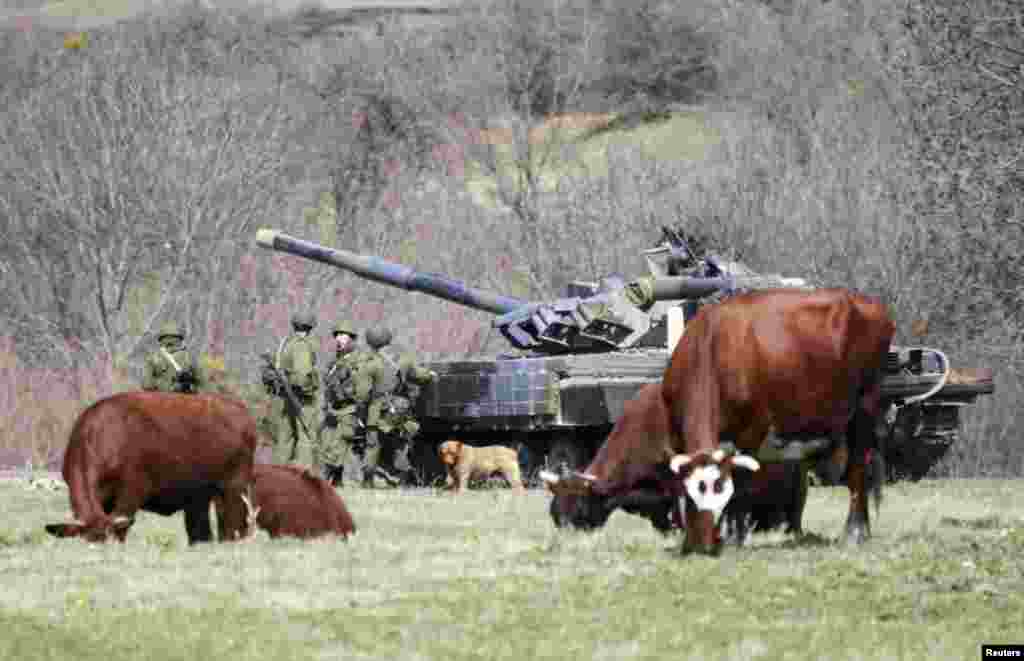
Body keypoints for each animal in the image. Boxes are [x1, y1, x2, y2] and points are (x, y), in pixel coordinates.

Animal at [46, 392, 258, 544]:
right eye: (87, 542)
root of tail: (242, 412)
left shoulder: (132, 493)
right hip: (200, 496)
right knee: (201, 531)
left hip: (234, 489)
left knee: (232, 525)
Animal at [659, 290, 892, 552]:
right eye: (690, 497)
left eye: (721, 495)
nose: (703, 545)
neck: (710, 349)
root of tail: (868, 303)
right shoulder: (675, 431)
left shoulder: (754, 428)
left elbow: (742, 482)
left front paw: (735, 537)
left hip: (865, 404)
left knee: (858, 467)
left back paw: (855, 532)